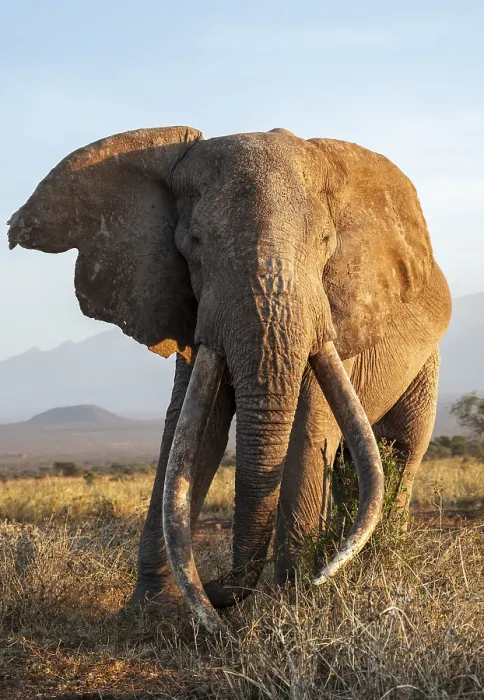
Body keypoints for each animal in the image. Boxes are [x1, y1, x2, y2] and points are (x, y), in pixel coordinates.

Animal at [7, 126, 452, 634]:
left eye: (325, 241)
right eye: (194, 241)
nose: (219, 591)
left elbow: (308, 429)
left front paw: (292, 606)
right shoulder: (189, 309)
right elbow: (193, 435)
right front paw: (153, 615)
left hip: (426, 361)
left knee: (401, 448)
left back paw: (362, 566)